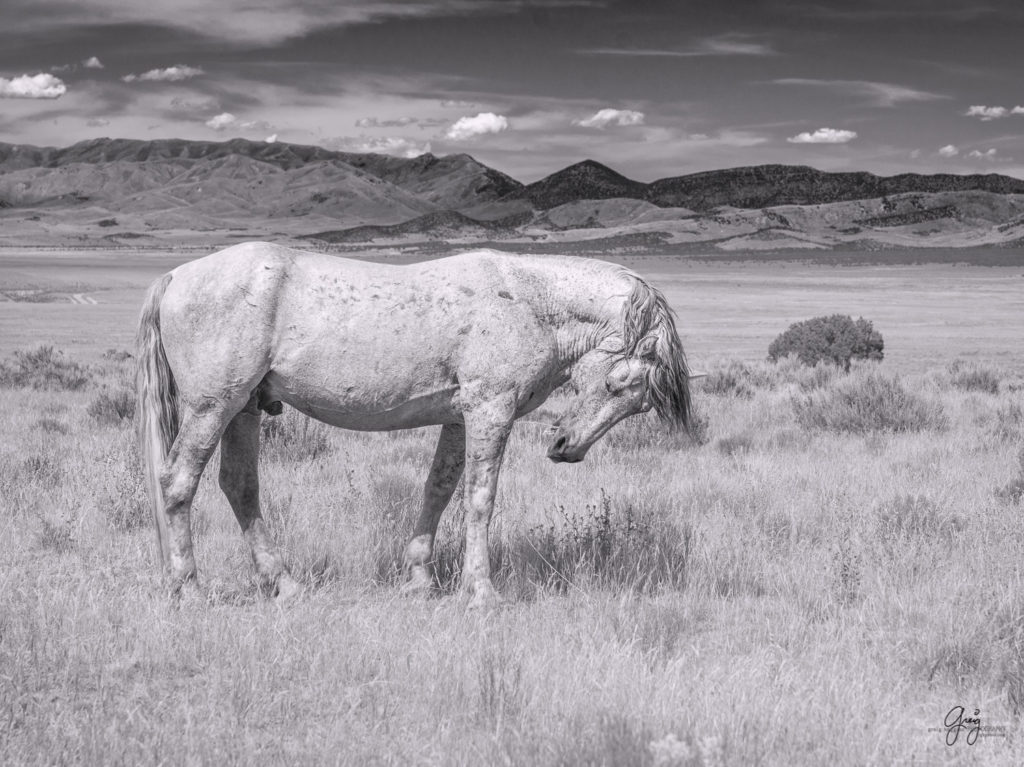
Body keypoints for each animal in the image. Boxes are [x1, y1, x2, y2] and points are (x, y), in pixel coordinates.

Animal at [136, 242, 692, 606]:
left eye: (640, 406)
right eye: (616, 383)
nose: (566, 447)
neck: (531, 302)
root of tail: (175, 276)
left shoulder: (460, 418)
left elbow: (439, 490)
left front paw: (420, 579)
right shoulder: (490, 411)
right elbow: (479, 500)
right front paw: (481, 593)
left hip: (245, 408)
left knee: (240, 485)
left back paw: (284, 585)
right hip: (213, 408)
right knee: (179, 482)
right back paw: (189, 589)